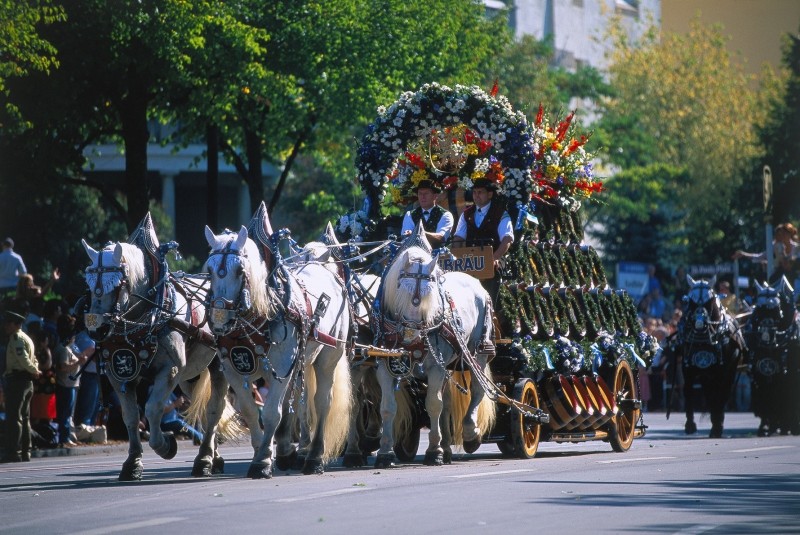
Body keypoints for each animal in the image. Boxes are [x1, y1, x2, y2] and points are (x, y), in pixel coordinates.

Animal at [81, 214, 230, 482]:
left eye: (117, 283)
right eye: (88, 282)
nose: (96, 329)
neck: (151, 315)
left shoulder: (169, 370)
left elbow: (152, 410)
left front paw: (166, 445)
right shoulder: (119, 374)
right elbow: (131, 416)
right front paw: (132, 463)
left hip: (217, 366)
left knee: (214, 409)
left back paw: (204, 459)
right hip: (191, 376)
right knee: (202, 409)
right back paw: (214, 457)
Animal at [202, 208, 352, 478]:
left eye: (240, 270)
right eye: (209, 270)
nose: (219, 318)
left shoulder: (281, 367)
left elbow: (272, 412)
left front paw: (262, 460)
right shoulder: (232, 369)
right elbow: (251, 411)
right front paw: (262, 452)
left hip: (328, 357)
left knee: (322, 402)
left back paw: (314, 457)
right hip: (302, 360)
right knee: (302, 402)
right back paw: (291, 452)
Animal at [374, 224, 494, 466]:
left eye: (431, 293)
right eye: (400, 288)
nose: (413, 335)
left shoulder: (435, 366)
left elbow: (433, 404)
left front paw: (434, 451)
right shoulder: (384, 364)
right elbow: (388, 407)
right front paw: (385, 452)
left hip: (477, 352)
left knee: (477, 389)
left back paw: (470, 434)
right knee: (447, 401)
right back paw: (447, 447)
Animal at [672, 278, 748, 438]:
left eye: (709, 301)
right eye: (690, 301)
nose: (699, 323)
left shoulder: (722, 370)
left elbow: (719, 394)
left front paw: (717, 426)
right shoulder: (688, 367)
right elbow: (688, 392)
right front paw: (690, 425)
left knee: (723, 392)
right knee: (709, 392)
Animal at [744, 276, 800, 436]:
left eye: (776, 309)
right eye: (758, 309)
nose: (765, 335)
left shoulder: (788, 375)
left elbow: (786, 400)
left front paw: (791, 425)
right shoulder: (759, 374)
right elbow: (766, 399)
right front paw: (765, 426)